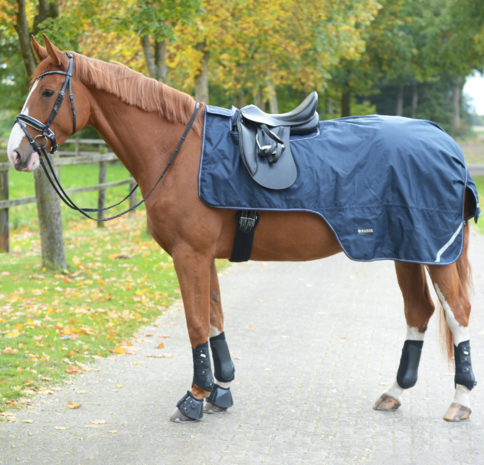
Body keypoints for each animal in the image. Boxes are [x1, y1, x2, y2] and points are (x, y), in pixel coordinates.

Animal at [7, 34, 476, 422]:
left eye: (47, 91)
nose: (15, 153)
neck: (178, 151)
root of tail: (445, 143)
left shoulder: (190, 255)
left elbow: (196, 323)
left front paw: (195, 398)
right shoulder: (204, 256)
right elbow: (214, 319)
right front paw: (220, 391)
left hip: (435, 253)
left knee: (458, 313)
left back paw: (460, 401)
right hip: (406, 251)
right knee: (419, 312)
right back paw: (394, 392)